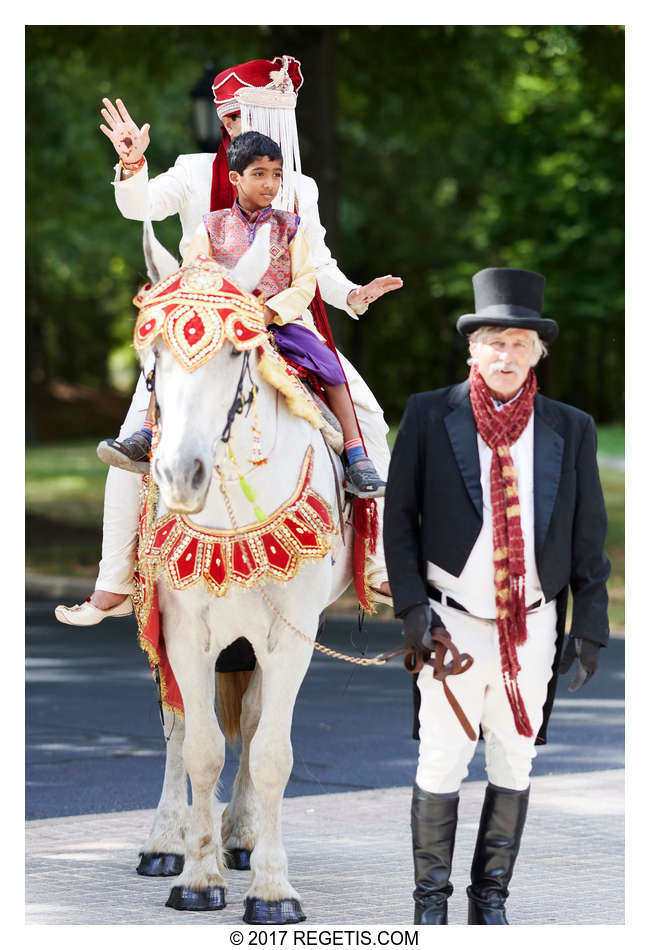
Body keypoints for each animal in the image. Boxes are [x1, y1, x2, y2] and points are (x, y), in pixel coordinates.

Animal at [132, 223, 352, 924]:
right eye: (152, 357)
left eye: (237, 351)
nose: (181, 475)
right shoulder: (183, 630)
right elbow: (200, 748)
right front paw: (197, 878)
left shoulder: (292, 633)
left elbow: (272, 752)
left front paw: (273, 891)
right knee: (177, 728)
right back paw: (167, 844)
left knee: (253, 727)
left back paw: (245, 839)